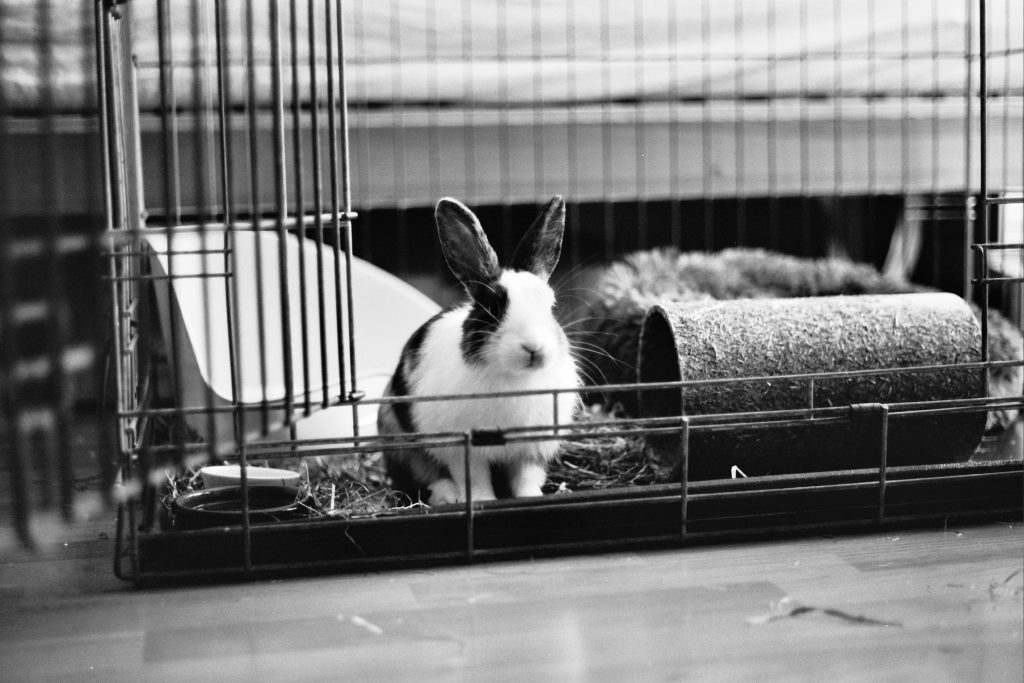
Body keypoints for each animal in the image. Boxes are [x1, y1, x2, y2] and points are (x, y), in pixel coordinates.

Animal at [378, 196, 581, 505]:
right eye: (493, 308)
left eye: (551, 307)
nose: (533, 348)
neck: (516, 379)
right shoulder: (463, 450)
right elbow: (473, 477)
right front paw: (484, 501)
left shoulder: (530, 448)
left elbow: (525, 477)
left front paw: (529, 498)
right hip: (399, 440)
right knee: (423, 476)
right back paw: (448, 496)